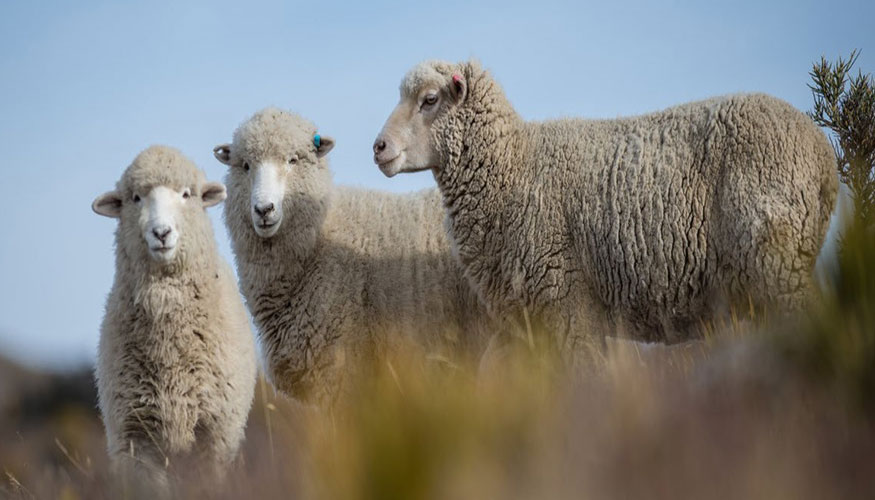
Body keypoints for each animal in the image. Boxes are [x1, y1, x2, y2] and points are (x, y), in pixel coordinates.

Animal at [372, 58, 840, 366]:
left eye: (430, 99)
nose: (378, 147)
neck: (514, 166)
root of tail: (823, 154)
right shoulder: (533, 324)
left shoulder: (566, 305)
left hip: (776, 262)